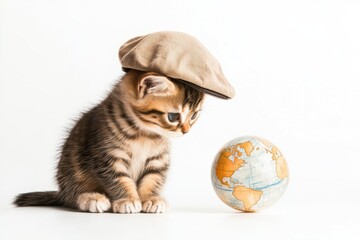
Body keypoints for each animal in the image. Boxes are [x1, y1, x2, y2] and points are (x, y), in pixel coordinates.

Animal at [13, 70, 205, 214]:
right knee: (71, 196)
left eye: (194, 115)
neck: (145, 134)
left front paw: (150, 198)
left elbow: (153, 178)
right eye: (173, 117)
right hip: (71, 170)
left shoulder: (158, 160)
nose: (186, 130)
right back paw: (91, 197)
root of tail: (61, 191)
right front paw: (128, 199)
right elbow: (119, 179)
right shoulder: (108, 157)